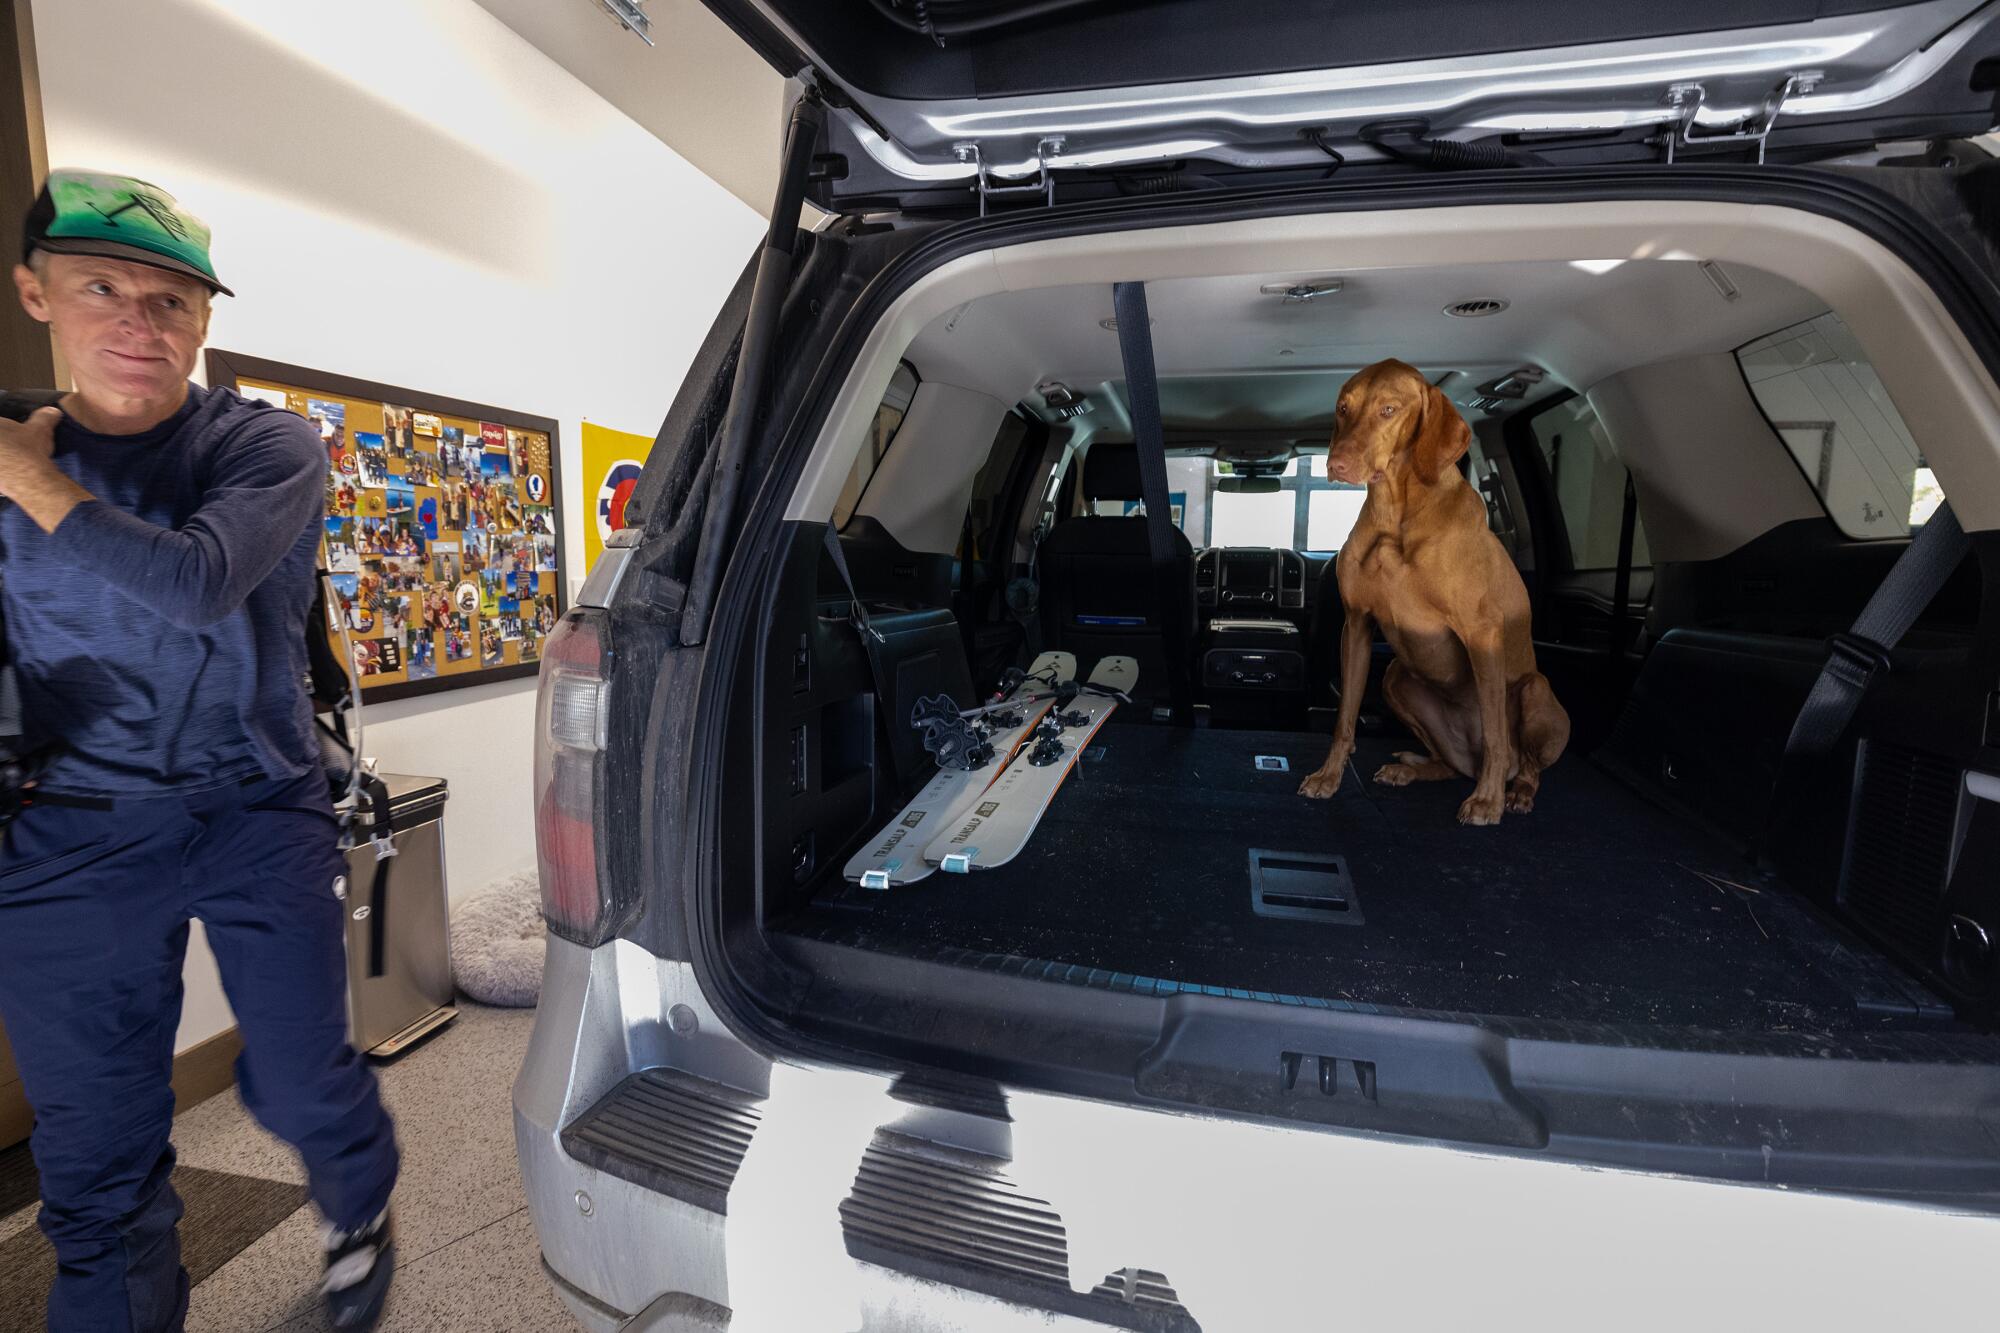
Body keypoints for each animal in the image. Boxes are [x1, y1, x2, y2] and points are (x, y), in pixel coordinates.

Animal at [1304, 358, 1568, 816]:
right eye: (1342, 408)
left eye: (1388, 410)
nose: (1335, 464)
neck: (1395, 514)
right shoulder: (1356, 625)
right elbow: (1344, 717)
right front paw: (1329, 776)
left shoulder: (1482, 633)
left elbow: (1496, 734)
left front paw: (1487, 802)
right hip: (1396, 677)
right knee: (1451, 763)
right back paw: (1412, 769)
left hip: (1535, 691)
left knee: (1523, 762)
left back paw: (1514, 791)